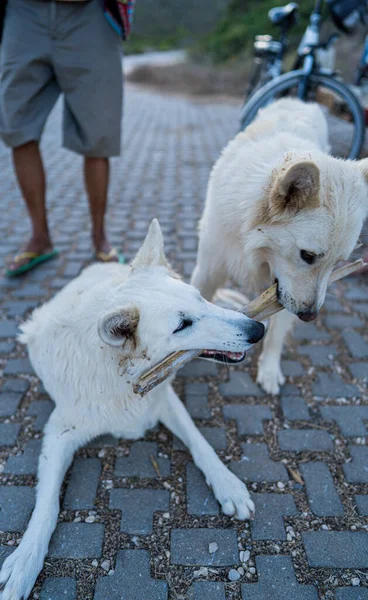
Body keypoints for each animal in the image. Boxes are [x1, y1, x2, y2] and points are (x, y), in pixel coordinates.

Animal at [0, 219, 264, 600]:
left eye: (198, 299)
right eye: (182, 325)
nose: (258, 329)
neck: (117, 373)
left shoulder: (162, 398)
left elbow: (201, 444)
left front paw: (227, 484)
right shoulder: (58, 432)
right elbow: (47, 505)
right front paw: (24, 561)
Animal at [191, 98, 368, 396]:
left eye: (338, 263)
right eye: (308, 255)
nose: (310, 317)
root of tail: (298, 100)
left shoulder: (285, 292)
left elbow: (276, 333)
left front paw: (270, 370)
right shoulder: (209, 270)